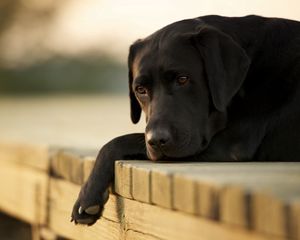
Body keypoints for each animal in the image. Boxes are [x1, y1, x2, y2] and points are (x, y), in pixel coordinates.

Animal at [72, 15, 300, 225]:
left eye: (183, 79)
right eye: (140, 89)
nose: (156, 140)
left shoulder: (230, 145)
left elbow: (119, 141)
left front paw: (88, 194)